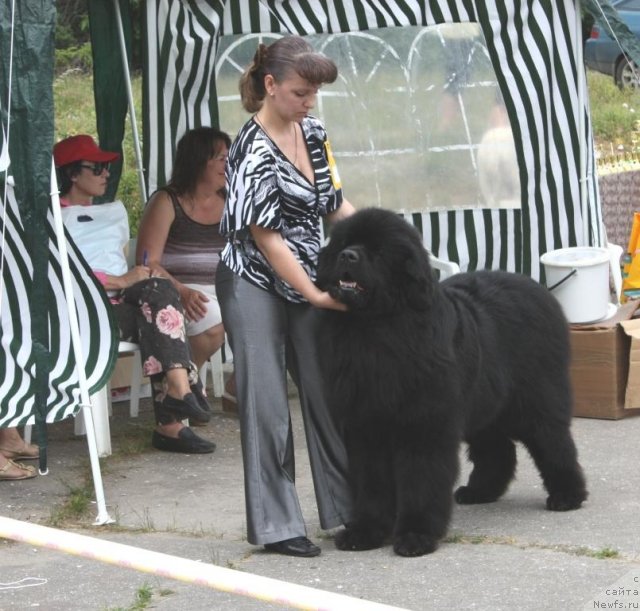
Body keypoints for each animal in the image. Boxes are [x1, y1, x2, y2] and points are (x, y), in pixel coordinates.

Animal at [318, 208, 588, 556]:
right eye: (344, 243)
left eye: (378, 251)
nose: (347, 255)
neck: (376, 328)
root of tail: (536, 286)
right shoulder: (365, 427)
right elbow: (370, 482)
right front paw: (365, 532)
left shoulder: (424, 423)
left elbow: (421, 478)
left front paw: (415, 535)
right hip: (483, 403)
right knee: (497, 448)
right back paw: (480, 492)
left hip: (535, 398)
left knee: (553, 440)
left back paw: (567, 495)